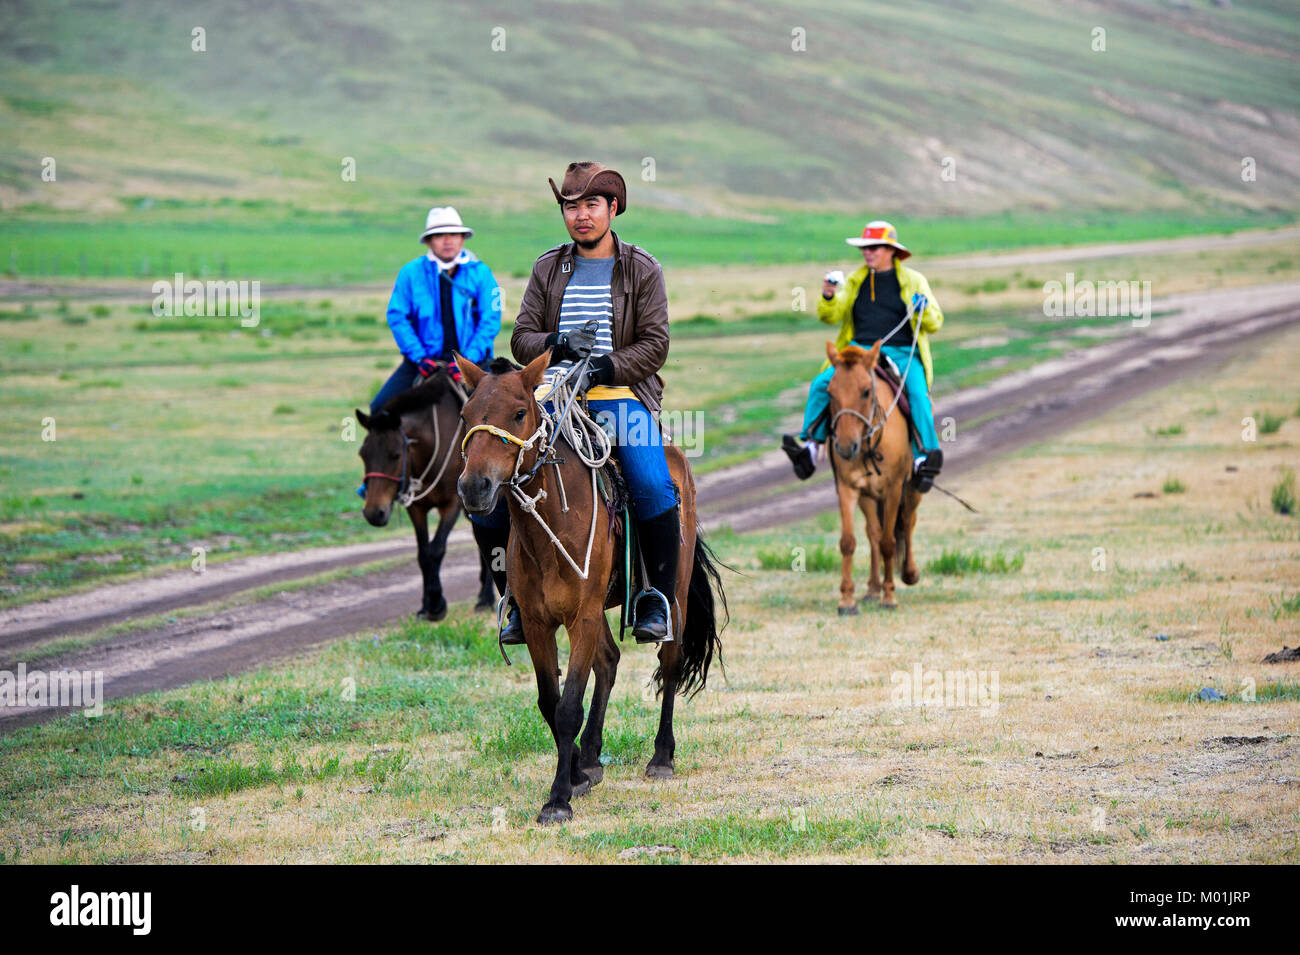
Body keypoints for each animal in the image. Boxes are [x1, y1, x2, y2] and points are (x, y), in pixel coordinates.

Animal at [356, 369, 496, 623]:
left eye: (395, 454)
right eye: (363, 454)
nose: (373, 513)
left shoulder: (452, 503)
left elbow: (435, 549)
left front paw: (436, 603)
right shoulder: (416, 507)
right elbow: (422, 554)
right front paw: (426, 606)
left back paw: (486, 599)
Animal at [454, 348, 722, 826]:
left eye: (519, 413)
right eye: (466, 416)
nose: (475, 486)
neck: (550, 526)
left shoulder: (581, 618)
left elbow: (567, 708)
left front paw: (558, 798)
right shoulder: (540, 625)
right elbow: (550, 701)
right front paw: (577, 772)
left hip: (671, 593)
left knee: (670, 664)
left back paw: (662, 757)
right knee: (610, 661)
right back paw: (593, 757)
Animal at [821, 343, 925, 613]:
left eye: (866, 392)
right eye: (830, 392)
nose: (846, 447)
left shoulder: (893, 489)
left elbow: (890, 542)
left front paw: (889, 597)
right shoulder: (848, 488)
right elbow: (849, 541)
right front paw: (847, 600)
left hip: (912, 489)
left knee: (907, 521)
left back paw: (909, 573)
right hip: (868, 497)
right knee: (873, 533)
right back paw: (871, 589)